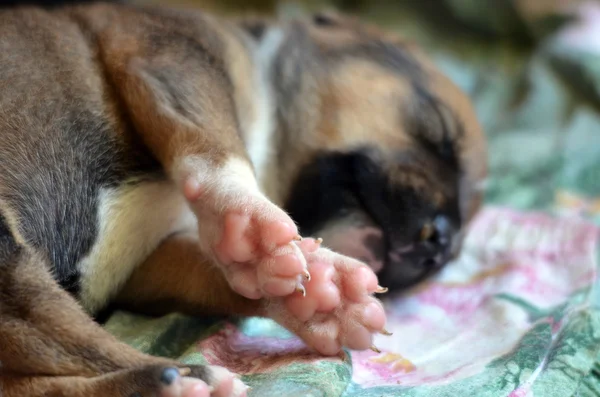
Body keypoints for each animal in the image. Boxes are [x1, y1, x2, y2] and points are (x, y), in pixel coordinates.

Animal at [0, 1, 486, 394]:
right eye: (439, 133)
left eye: (457, 247)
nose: (440, 244)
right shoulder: (171, 56)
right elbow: (217, 145)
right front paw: (253, 221)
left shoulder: (148, 267)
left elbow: (218, 273)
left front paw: (320, 293)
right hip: (9, 250)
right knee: (59, 333)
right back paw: (184, 380)